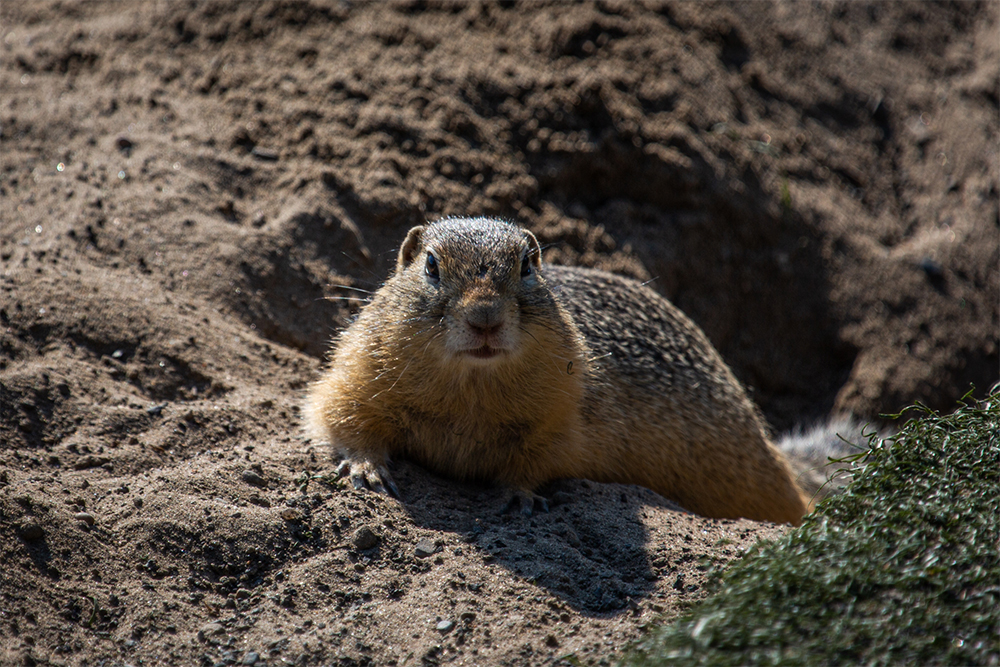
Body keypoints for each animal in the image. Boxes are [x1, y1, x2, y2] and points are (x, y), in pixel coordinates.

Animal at [306, 217, 812, 524]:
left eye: (526, 266)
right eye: (430, 265)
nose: (485, 318)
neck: (470, 389)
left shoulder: (561, 419)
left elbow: (536, 462)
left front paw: (519, 496)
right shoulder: (354, 377)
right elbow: (344, 420)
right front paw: (367, 470)